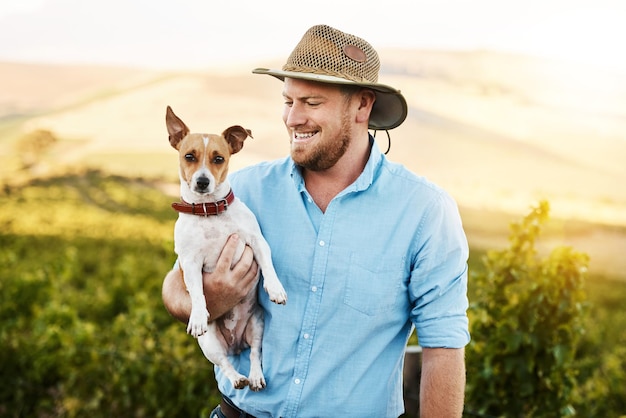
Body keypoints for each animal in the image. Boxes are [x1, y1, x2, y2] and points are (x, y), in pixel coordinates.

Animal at [163, 105, 286, 392]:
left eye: (218, 159)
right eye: (189, 156)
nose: (202, 181)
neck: (209, 211)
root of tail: (235, 343)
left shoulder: (257, 241)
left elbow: (269, 266)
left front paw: (275, 289)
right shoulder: (189, 262)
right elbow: (197, 293)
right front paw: (197, 315)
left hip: (257, 326)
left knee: (254, 354)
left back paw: (255, 376)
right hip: (210, 344)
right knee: (225, 364)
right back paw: (238, 378)